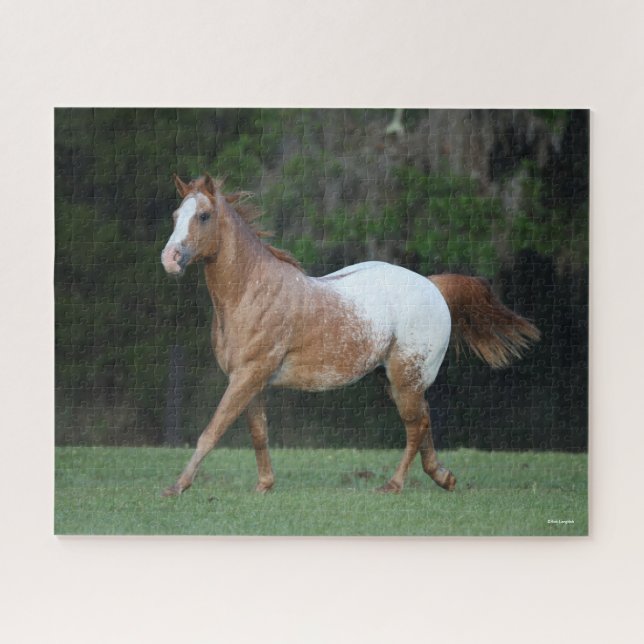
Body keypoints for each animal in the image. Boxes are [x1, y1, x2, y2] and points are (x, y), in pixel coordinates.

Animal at [160, 174, 540, 496]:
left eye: (204, 215)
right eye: (176, 214)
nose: (170, 258)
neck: (252, 292)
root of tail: (432, 286)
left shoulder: (248, 376)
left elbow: (211, 431)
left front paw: (177, 487)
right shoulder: (251, 381)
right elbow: (259, 433)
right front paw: (264, 486)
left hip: (406, 378)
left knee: (415, 426)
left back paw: (394, 485)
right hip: (395, 379)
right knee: (425, 420)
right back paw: (443, 477)